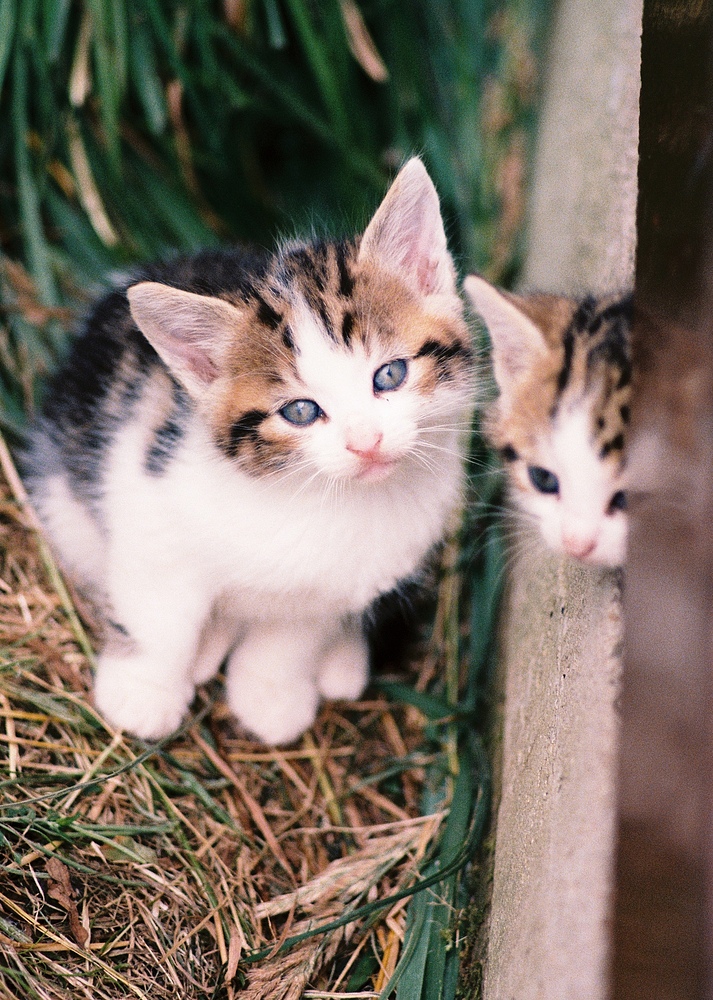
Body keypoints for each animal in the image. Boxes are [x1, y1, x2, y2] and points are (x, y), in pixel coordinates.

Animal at [25, 160, 476, 748]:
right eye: (301, 411)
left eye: (390, 375)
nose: (365, 442)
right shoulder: (148, 497)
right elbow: (159, 611)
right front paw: (144, 693)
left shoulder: (327, 589)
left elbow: (288, 638)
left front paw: (269, 698)